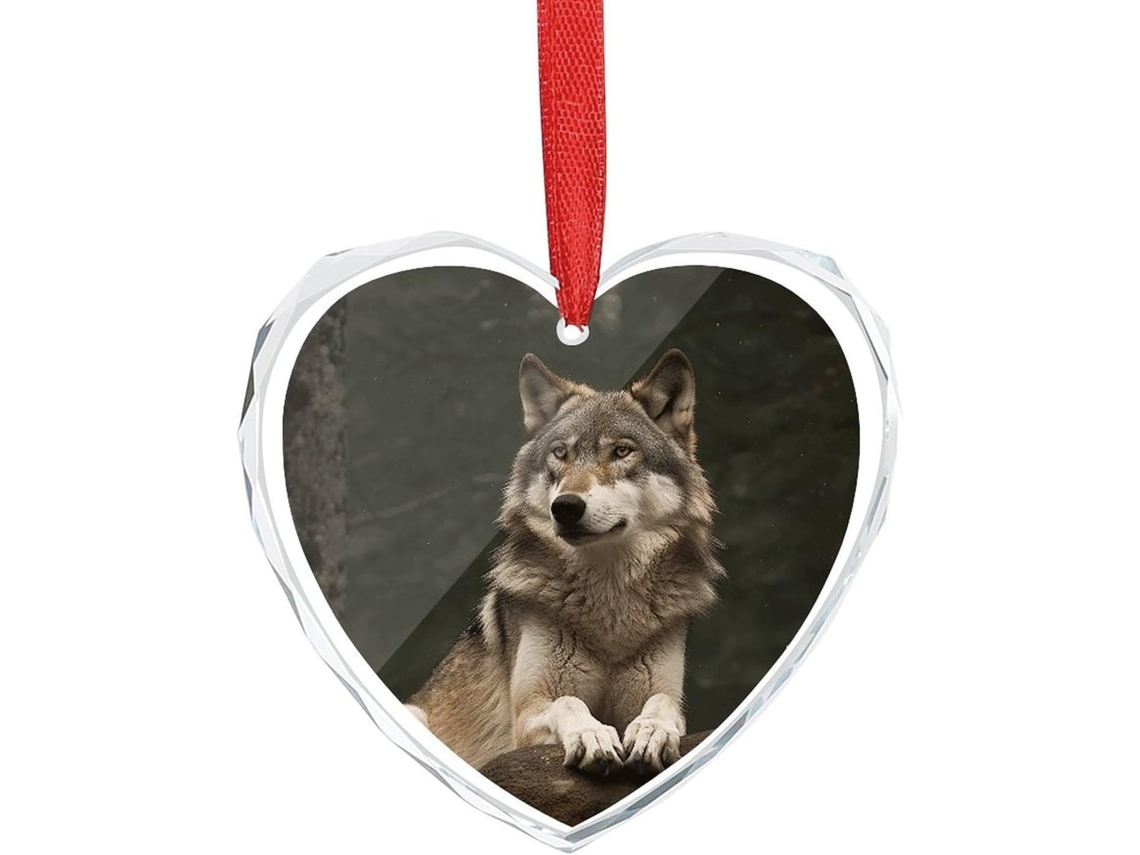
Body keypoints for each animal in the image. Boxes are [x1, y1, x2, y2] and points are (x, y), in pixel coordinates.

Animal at [405, 349, 723, 777]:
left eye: (621, 451)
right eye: (560, 453)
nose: (566, 507)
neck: (609, 605)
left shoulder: (661, 692)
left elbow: (663, 706)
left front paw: (651, 731)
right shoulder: (527, 715)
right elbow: (568, 703)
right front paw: (592, 736)